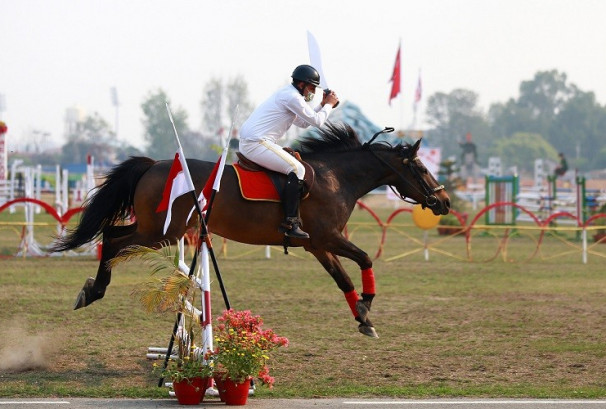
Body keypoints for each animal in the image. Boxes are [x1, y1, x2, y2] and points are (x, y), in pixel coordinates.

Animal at [51, 122, 452, 336]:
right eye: (422, 168)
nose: (445, 202)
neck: (335, 177)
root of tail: (153, 165)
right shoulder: (327, 238)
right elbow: (366, 259)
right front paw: (367, 308)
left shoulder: (319, 246)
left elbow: (345, 279)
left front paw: (363, 315)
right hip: (161, 231)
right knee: (113, 239)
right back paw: (93, 290)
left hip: (158, 229)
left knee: (113, 238)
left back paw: (92, 289)